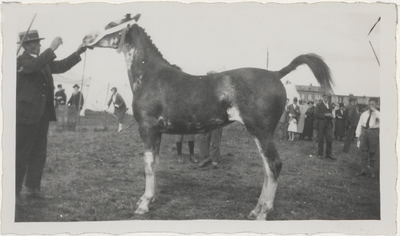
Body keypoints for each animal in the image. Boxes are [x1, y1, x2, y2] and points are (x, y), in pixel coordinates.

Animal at [83, 14, 332, 221]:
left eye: (111, 24)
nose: (86, 38)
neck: (151, 76)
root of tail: (276, 74)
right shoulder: (158, 132)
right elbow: (155, 163)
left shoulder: (147, 129)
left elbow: (149, 165)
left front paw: (143, 204)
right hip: (261, 134)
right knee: (267, 168)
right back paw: (255, 210)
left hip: (261, 132)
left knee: (274, 165)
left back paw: (263, 213)